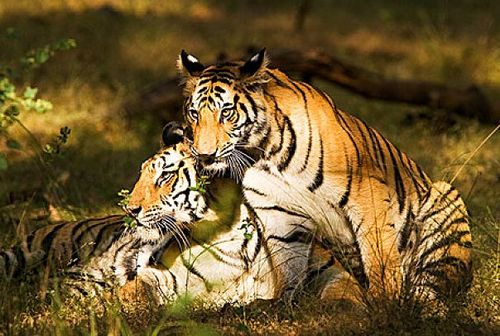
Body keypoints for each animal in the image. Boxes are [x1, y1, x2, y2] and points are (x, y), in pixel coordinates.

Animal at [174, 48, 470, 304]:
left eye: (226, 113)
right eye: (194, 114)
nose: (205, 155)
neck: (264, 155)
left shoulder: (368, 193)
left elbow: (378, 256)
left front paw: (384, 304)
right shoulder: (277, 211)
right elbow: (288, 262)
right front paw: (282, 302)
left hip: (445, 201)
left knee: (431, 287)